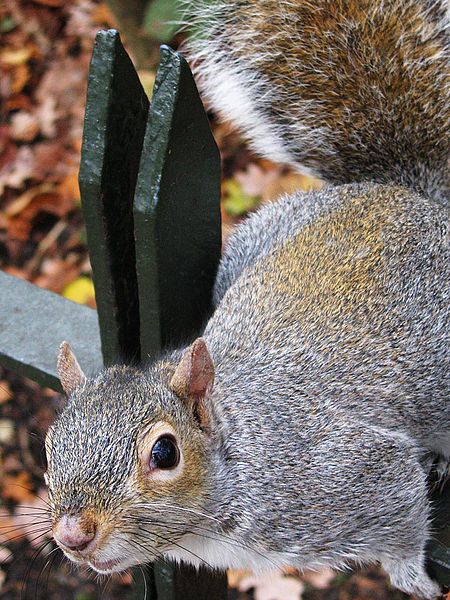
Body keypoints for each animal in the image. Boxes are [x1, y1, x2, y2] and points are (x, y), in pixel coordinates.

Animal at [44, 1, 446, 600]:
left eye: (165, 453)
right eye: (50, 447)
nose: (73, 534)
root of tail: (407, 195)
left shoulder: (352, 475)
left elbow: (402, 521)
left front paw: (411, 577)